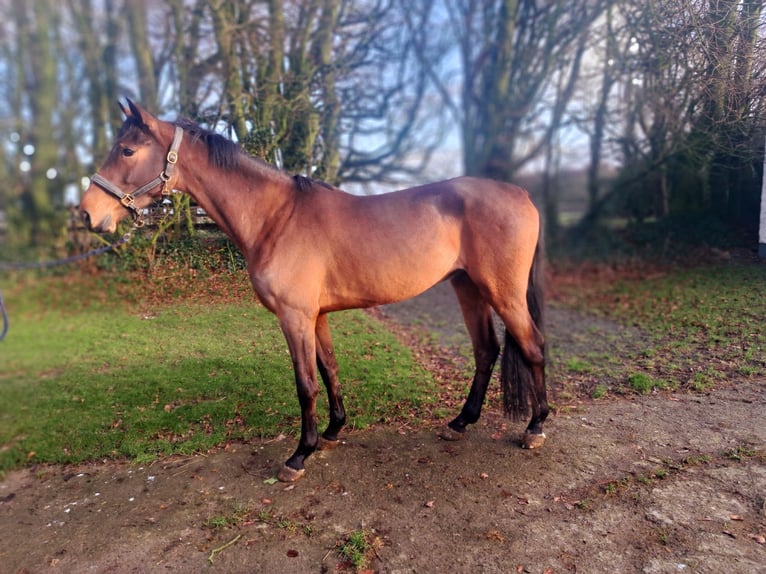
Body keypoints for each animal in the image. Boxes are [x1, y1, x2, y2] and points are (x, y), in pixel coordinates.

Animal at [80, 100, 548, 482]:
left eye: (127, 150)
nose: (86, 214)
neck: (276, 217)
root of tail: (522, 194)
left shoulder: (294, 317)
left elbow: (305, 383)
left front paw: (298, 456)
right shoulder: (317, 316)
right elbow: (329, 370)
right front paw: (331, 431)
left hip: (503, 293)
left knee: (532, 347)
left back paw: (535, 427)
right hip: (468, 288)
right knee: (486, 351)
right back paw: (460, 423)